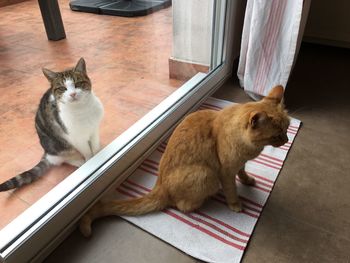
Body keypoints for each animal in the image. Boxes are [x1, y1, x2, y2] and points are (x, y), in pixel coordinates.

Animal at [0, 58, 104, 193]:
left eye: (78, 83)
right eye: (62, 88)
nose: (73, 94)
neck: (82, 109)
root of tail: (46, 152)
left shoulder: (94, 129)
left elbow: (95, 146)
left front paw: (98, 154)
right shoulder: (75, 138)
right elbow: (87, 151)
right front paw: (91, 160)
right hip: (57, 145)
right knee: (61, 158)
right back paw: (78, 161)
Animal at [79, 85, 290, 238]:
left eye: (287, 128)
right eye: (277, 135)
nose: (287, 140)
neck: (249, 148)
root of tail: (160, 186)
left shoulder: (240, 164)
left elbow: (243, 172)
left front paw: (247, 180)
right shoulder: (226, 172)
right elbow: (231, 190)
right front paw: (235, 204)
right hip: (207, 175)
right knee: (182, 206)